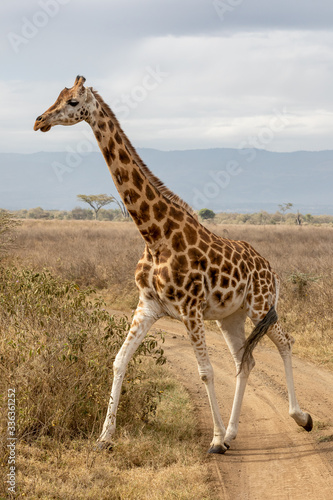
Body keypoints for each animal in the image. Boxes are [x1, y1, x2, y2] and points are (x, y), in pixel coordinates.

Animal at [33, 75, 312, 454]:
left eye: (73, 102)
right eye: (58, 96)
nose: (39, 121)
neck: (154, 236)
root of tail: (274, 270)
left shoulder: (190, 309)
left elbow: (205, 371)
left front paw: (214, 441)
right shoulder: (148, 305)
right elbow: (119, 360)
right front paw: (104, 438)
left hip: (260, 305)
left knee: (285, 343)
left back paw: (299, 417)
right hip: (230, 316)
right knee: (245, 360)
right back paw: (233, 433)